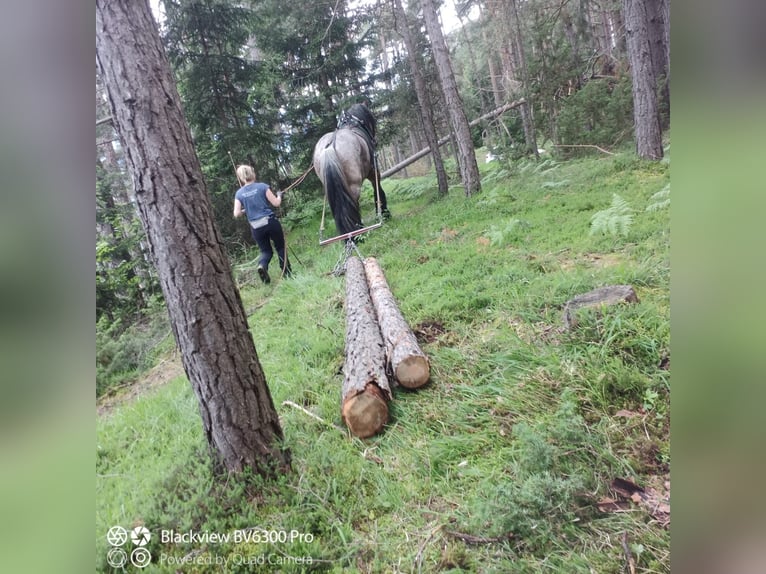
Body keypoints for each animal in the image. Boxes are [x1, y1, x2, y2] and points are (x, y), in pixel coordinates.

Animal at [312, 103, 390, 238]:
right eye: (371, 118)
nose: (375, 140)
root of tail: (329, 146)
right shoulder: (374, 172)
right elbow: (378, 191)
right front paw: (384, 214)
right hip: (354, 185)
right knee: (353, 203)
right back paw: (358, 234)